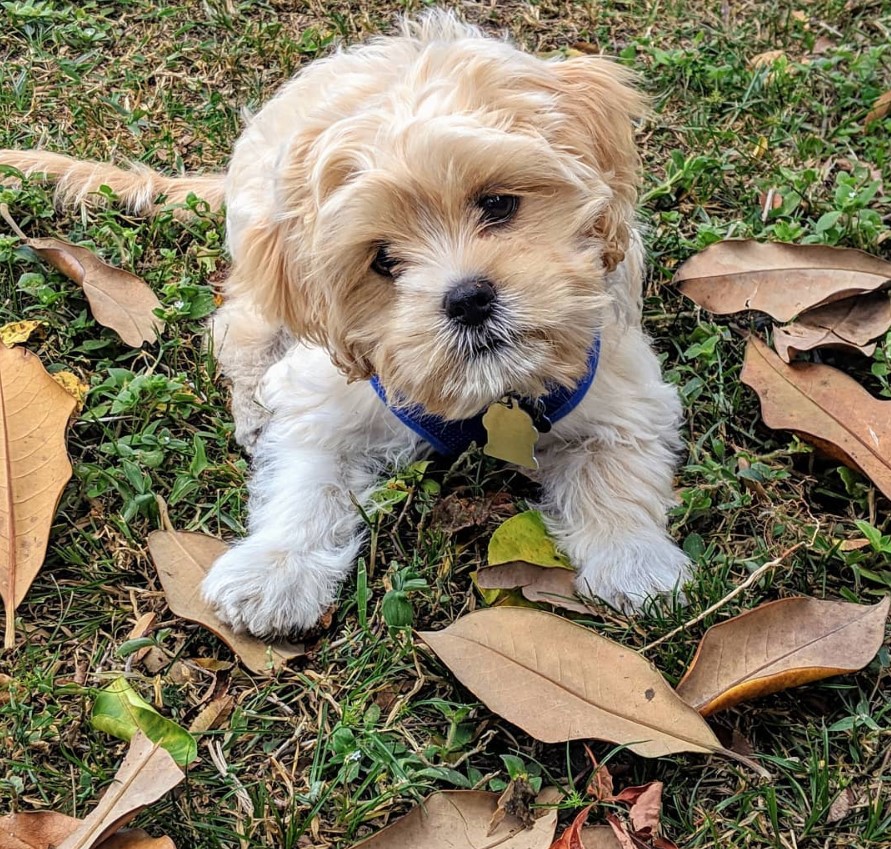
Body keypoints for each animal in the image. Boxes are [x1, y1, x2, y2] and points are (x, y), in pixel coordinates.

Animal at [0, 13, 688, 636]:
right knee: (237, 330)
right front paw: (275, 569)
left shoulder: (617, 379)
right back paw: (252, 409)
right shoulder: (327, 392)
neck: (489, 395)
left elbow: (617, 473)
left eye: (497, 204)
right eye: (383, 260)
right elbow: (306, 481)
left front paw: (635, 560)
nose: (468, 299)